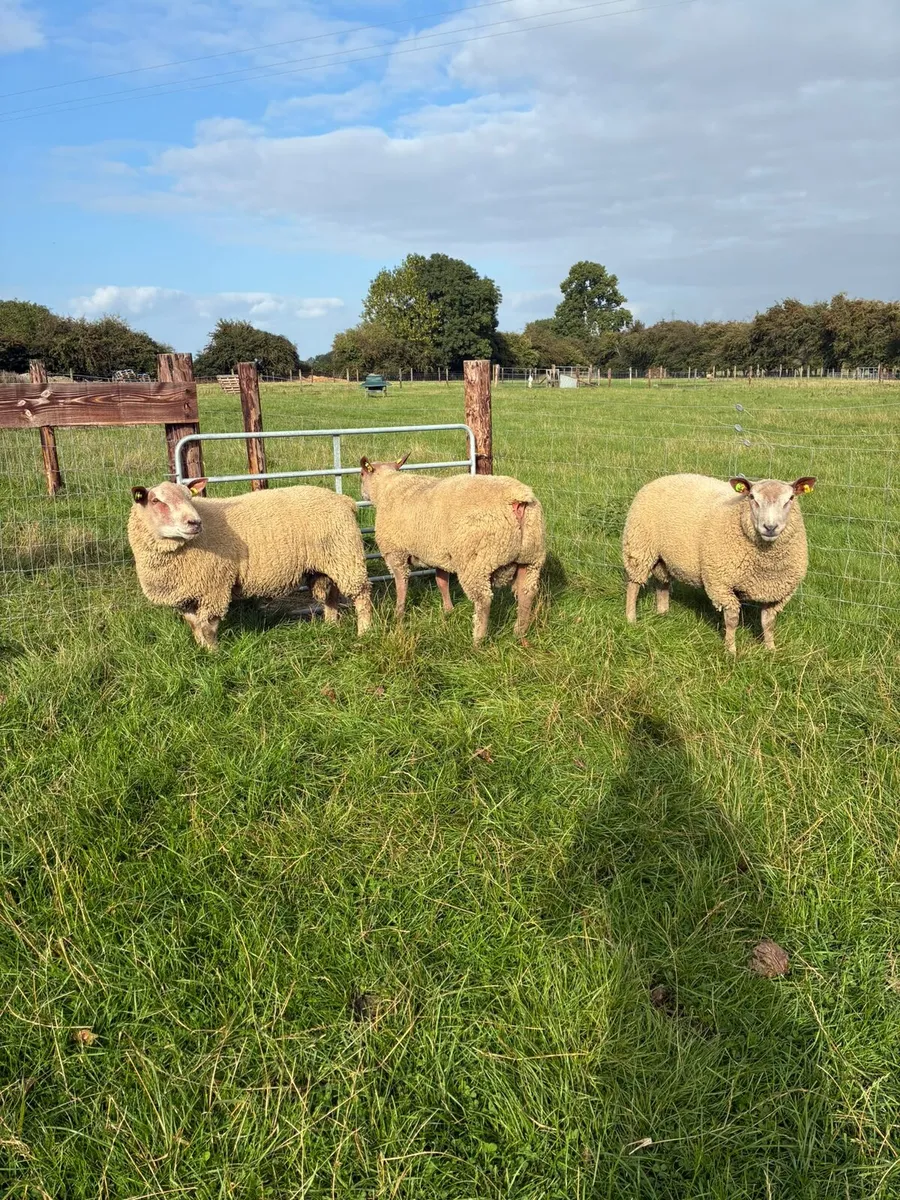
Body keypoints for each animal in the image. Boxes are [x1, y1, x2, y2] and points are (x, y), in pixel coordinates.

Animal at [128, 478, 373, 648]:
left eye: (190, 497)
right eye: (156, 501)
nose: (195, 522)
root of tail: (344, 500)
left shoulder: (215, 586)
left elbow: (208, 627)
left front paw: (214, 655)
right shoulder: (186, 595)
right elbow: (194, 626)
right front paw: (201, 651)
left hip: (346, 555)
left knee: (361, 595)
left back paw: (364, 632)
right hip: (329, 562)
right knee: (331, 594)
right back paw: (331, 625)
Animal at [359, 452, 546, 644]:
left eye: (361, 474)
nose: (362, 494)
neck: (386, 487)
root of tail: (517, 499)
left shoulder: (396, 552)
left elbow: (401, 584)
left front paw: (398, 614)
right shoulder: (439, 555)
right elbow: (441, 582)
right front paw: (448, 610)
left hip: (475, 562)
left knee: (483, 600)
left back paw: (478, 640)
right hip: (531, 558)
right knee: (526, 593)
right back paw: (519, 632)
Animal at [622, 473, 816, 653]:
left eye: (791, 498)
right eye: (752, 497)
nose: (770, 527)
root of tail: (660, 479)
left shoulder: (778, 592)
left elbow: (768, 622)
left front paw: (771, 650)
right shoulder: (720, 583)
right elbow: (732, 620)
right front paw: (730, 651)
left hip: (663, 558)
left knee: (662, 584)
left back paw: (663, 614)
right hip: (639, 547)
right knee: (634, 585)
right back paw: (631, 619)